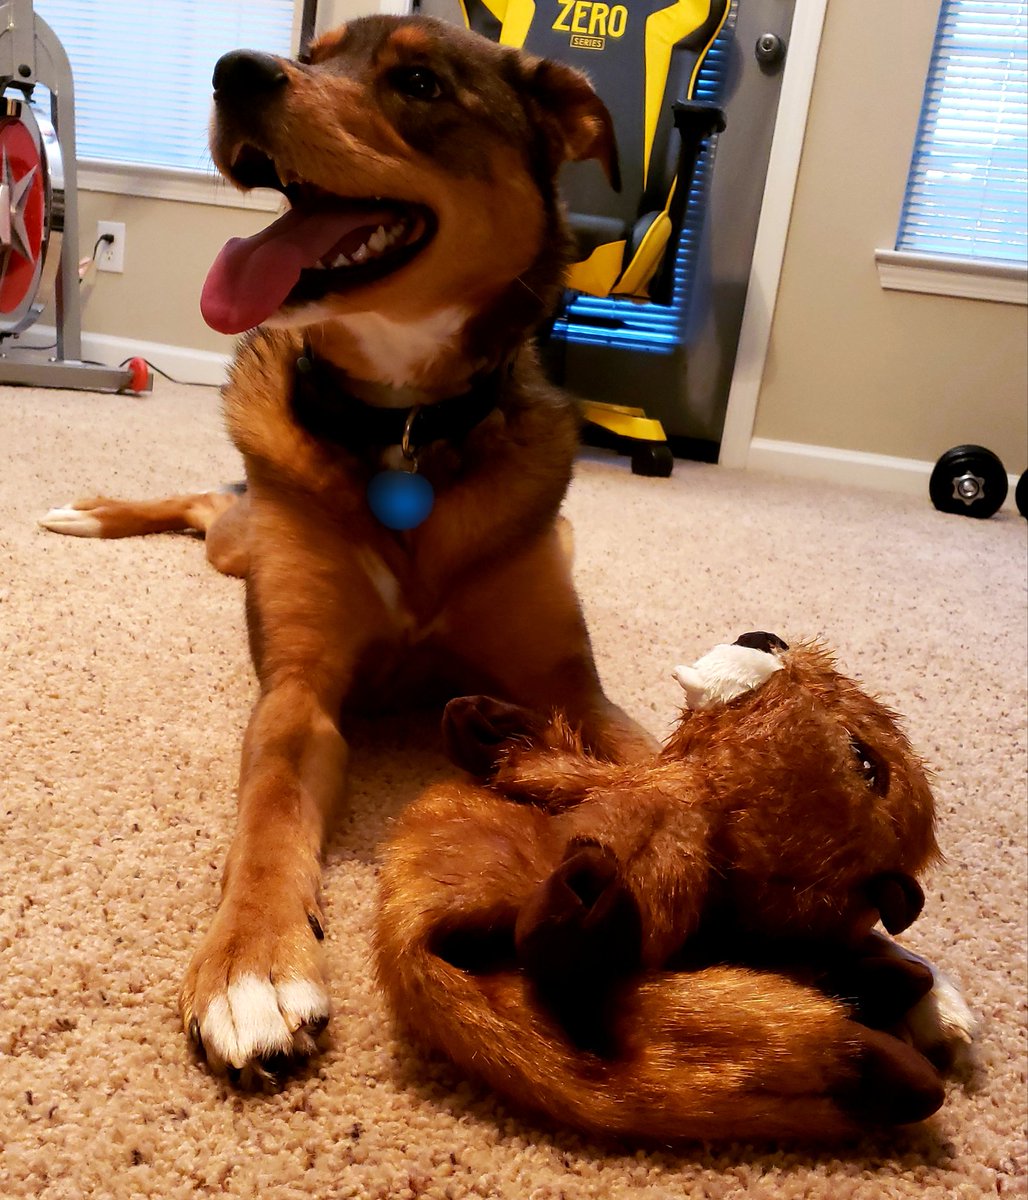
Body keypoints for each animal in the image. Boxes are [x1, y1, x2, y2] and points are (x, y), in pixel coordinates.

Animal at [41, 15, 659, 1082]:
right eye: (315, 53)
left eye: (419, 82)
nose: (234, 71)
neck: (404, 428)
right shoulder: (299, 693)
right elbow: (267, 819)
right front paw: (250, 964)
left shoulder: (571, 691)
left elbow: (660, 764)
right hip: (244, 540)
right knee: (206, 504)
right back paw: (89, 513)